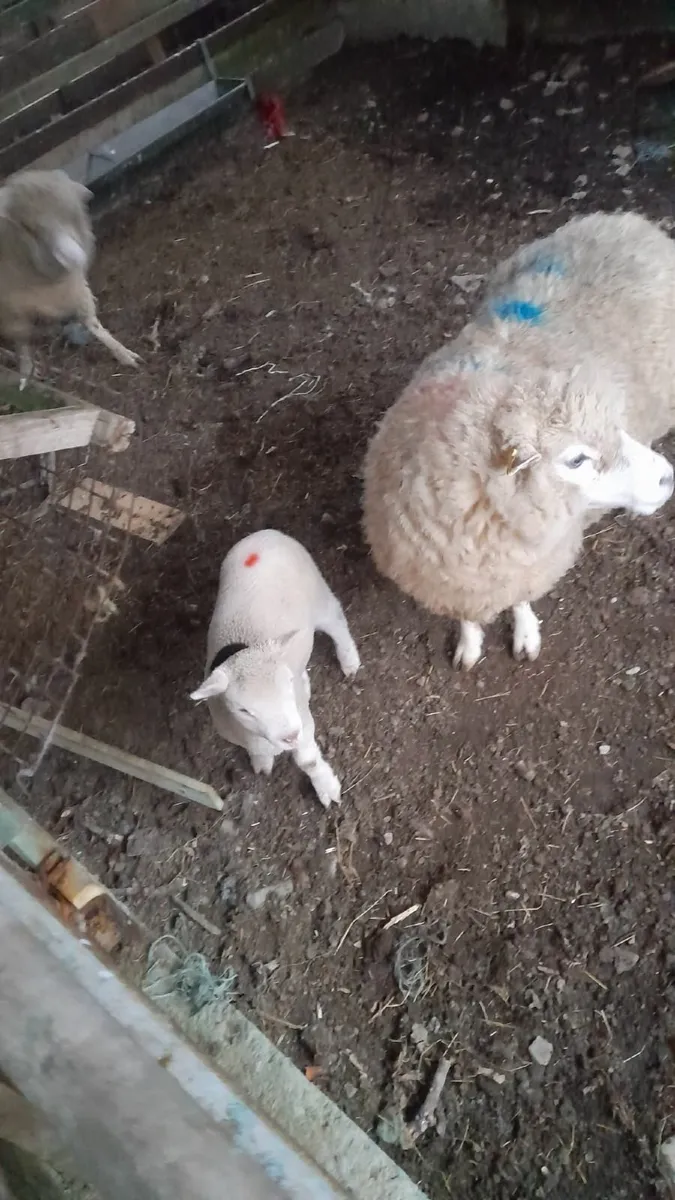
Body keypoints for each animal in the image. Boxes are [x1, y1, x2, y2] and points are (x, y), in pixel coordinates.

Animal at [0, 168, 140, 385]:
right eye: (28, 228)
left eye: (73, 213)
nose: (73, 257)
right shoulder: (11, 312)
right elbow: (22, 342)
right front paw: (26, 372)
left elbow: (92, 324)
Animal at [190, 529, 361, 808]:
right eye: (243, 710)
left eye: (286, 684)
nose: (290, 735)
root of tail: (264, 534)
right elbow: (257, 752)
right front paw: (262, 764)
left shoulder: (304, 724)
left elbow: (308, 761)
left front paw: (326, 788)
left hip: (317, 593)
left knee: (336, 621)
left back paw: (349, 659)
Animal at [363, 211, 675, 670]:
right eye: (576, 460)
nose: (667, 478)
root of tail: (627, 220)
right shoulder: (461, 580)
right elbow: (468, 617)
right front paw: (469, 644)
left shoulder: (529, 565)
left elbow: (522, 600)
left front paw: (526, 634)